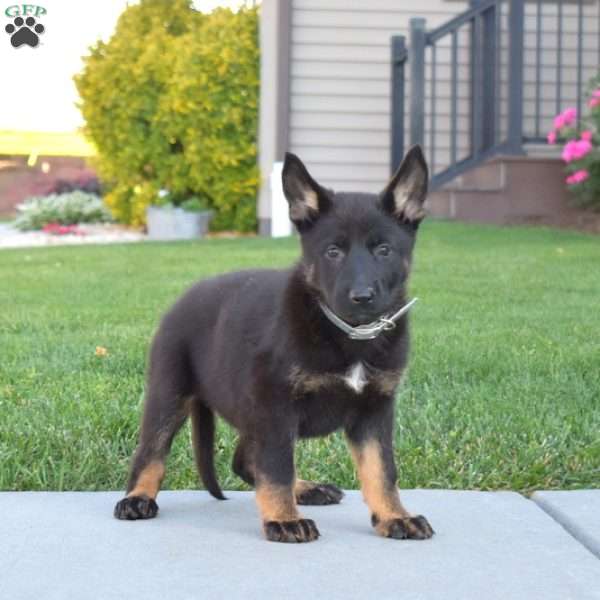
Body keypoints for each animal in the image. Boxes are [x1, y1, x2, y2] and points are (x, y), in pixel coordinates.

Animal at [116, 146, 436, 544]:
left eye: (384, 250)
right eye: (333, 252)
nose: (361, 297)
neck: (349, 334)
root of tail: (183, 297)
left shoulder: (374, 410)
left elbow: (382, 470)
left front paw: (395, 516)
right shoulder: (276, 406)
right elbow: (278, 467)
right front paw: (284, 519)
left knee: (244, 460)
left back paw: (309, 488)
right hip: (170, 390)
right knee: (152, 450)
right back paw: (137, 497)